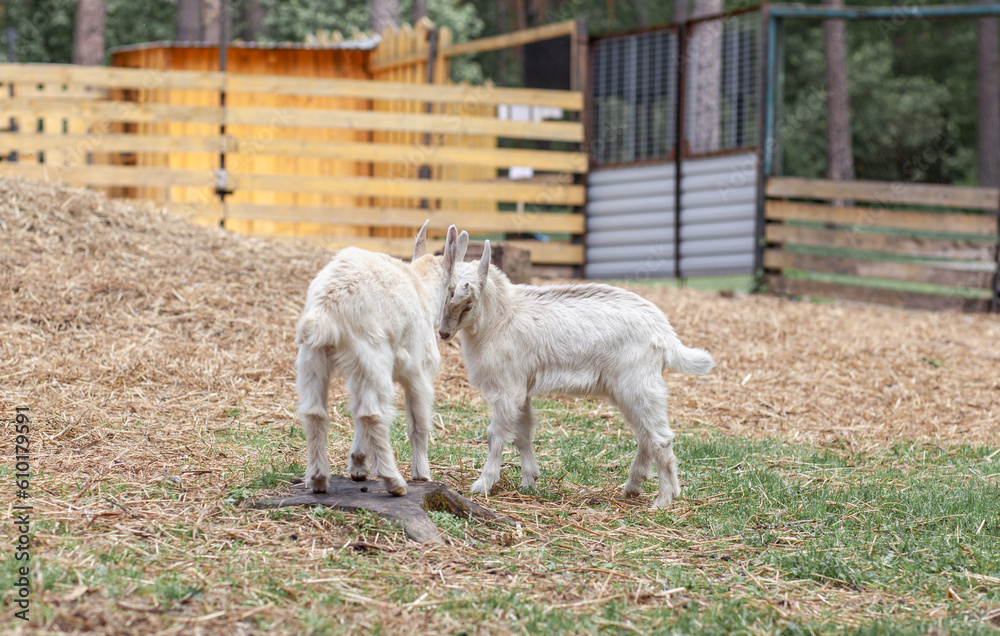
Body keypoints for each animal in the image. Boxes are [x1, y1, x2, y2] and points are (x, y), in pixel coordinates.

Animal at [295, 221, 469, 496]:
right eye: (452, 290)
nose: (445, 332)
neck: (420, 288)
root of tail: (326, 309)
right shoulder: (419, 372)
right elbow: (418, 423)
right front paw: (422, 474)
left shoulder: (356, 372)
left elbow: (355, 411)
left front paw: (358, 465)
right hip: (372, 355)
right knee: (373, 415)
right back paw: (394, 481)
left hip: (314, 357)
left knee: (316, 413)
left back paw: (318, 479)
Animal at [437, 227, 714, 509]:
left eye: (468, 304)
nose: (443, 333)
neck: (501, 317)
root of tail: (664, 332)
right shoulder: (522, 389)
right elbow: (523, 433)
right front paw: (529, 481)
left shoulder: (508, 387)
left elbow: (496, 433)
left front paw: (483, 484)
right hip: (626, 390)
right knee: (644, 434)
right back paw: (633, 486)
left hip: (638, 384)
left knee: (660, 437)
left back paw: (664, 499)